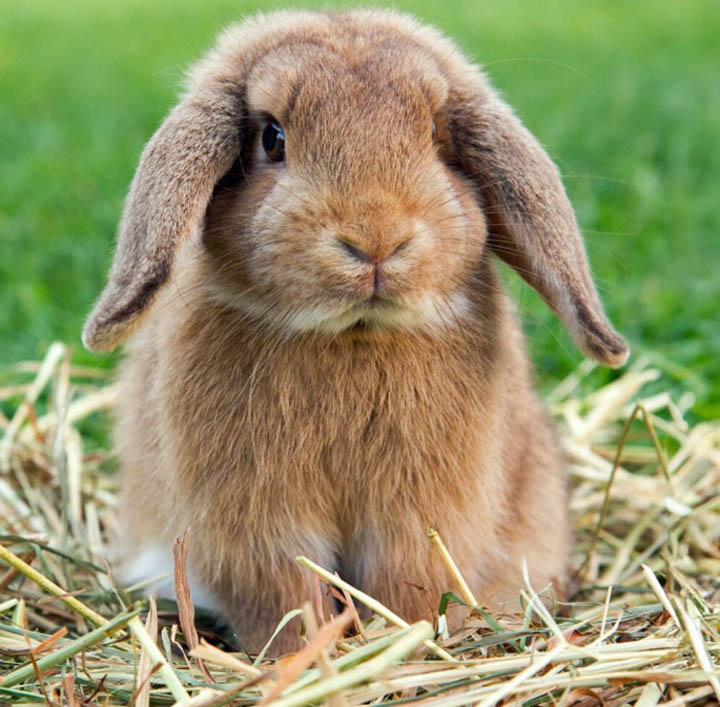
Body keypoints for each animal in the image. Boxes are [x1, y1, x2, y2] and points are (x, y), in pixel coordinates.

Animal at [83, 9, 628, 653]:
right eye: (272, 137)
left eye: (436, 135)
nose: (376, 240)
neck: (353, 336)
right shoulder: (258, 525)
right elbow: (288, 598)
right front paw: (305, 655)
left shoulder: (416, 521)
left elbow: (406, 587)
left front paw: (402, 644)